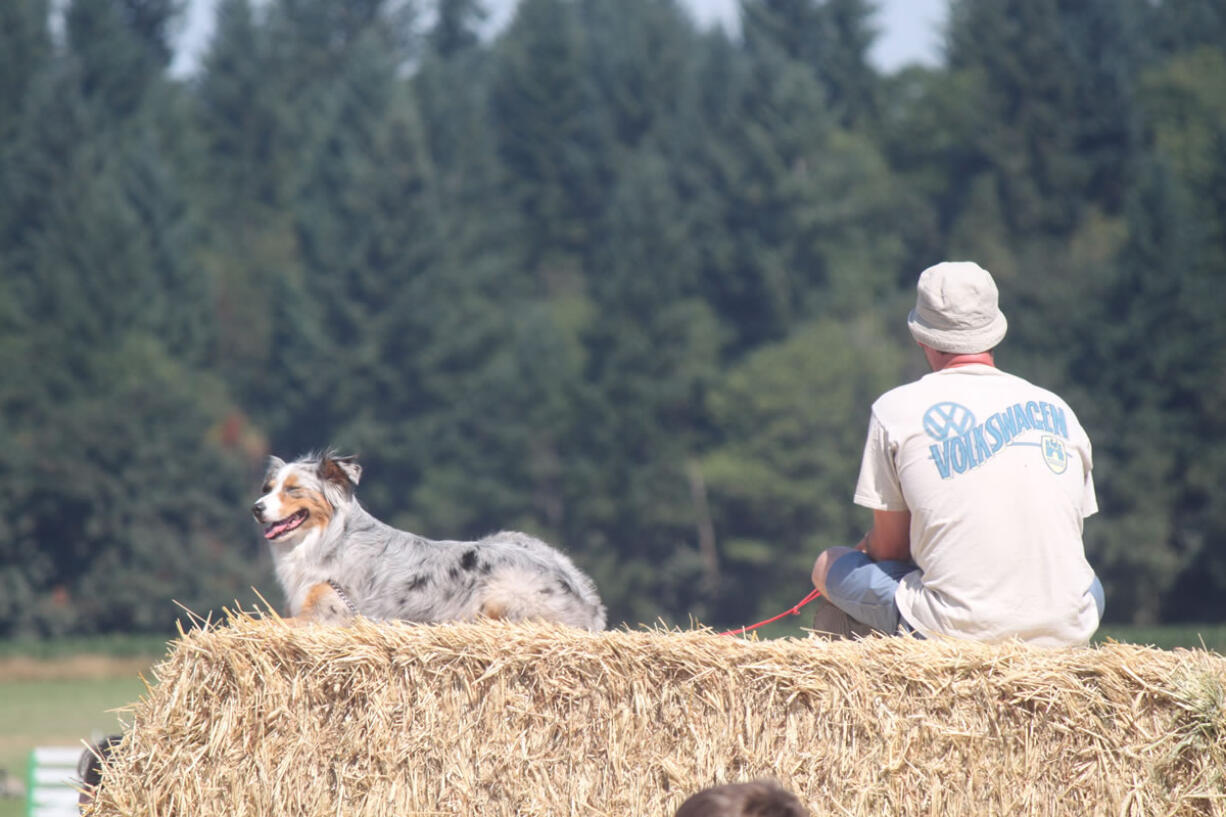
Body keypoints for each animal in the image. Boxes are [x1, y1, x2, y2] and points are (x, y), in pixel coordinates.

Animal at [250, 448, 608, 625]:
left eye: (293, 489)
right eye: (267, 488)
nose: (255, 508)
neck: (329, 539)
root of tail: (589, 601)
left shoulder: (327, 615)